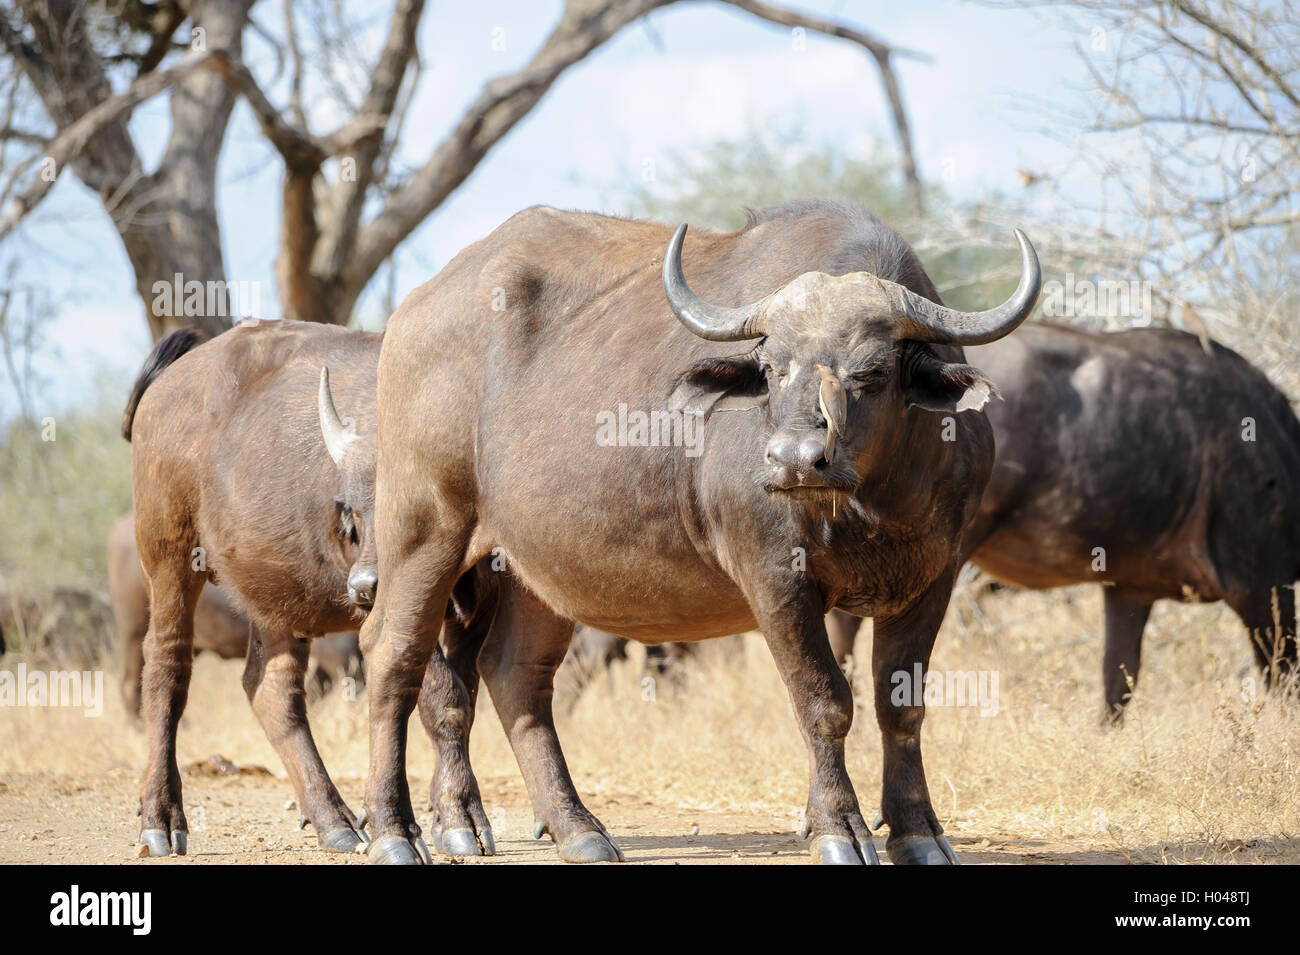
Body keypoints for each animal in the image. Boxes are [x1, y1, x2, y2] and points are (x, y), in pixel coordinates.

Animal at [361, 200, 1040, 867]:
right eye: (772, 367)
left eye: (871, 372)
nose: (795, 460)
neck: (870, 501)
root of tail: (410, 317)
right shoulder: (776, 578)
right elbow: (824, 702)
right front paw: (838, 828)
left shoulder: (935, 579)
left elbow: (902, 706)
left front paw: (918, 832)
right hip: (425, 533)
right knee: (392, 657)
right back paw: (400, 832)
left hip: (535, 568)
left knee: (516, 676)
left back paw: (577, 829)